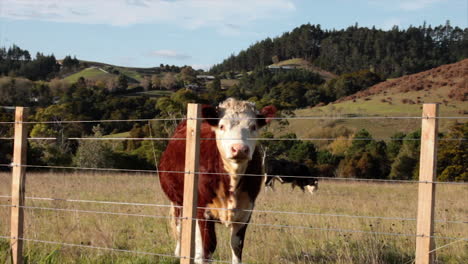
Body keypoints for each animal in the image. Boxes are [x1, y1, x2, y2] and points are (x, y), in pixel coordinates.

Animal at [158, 98, 274, 264]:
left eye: (253, 126)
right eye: (222, 126)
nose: (239, 148)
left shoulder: (246, 211)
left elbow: (237, 246)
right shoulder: (202, 211)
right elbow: (207, 249)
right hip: (178, 201)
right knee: (181, 227)